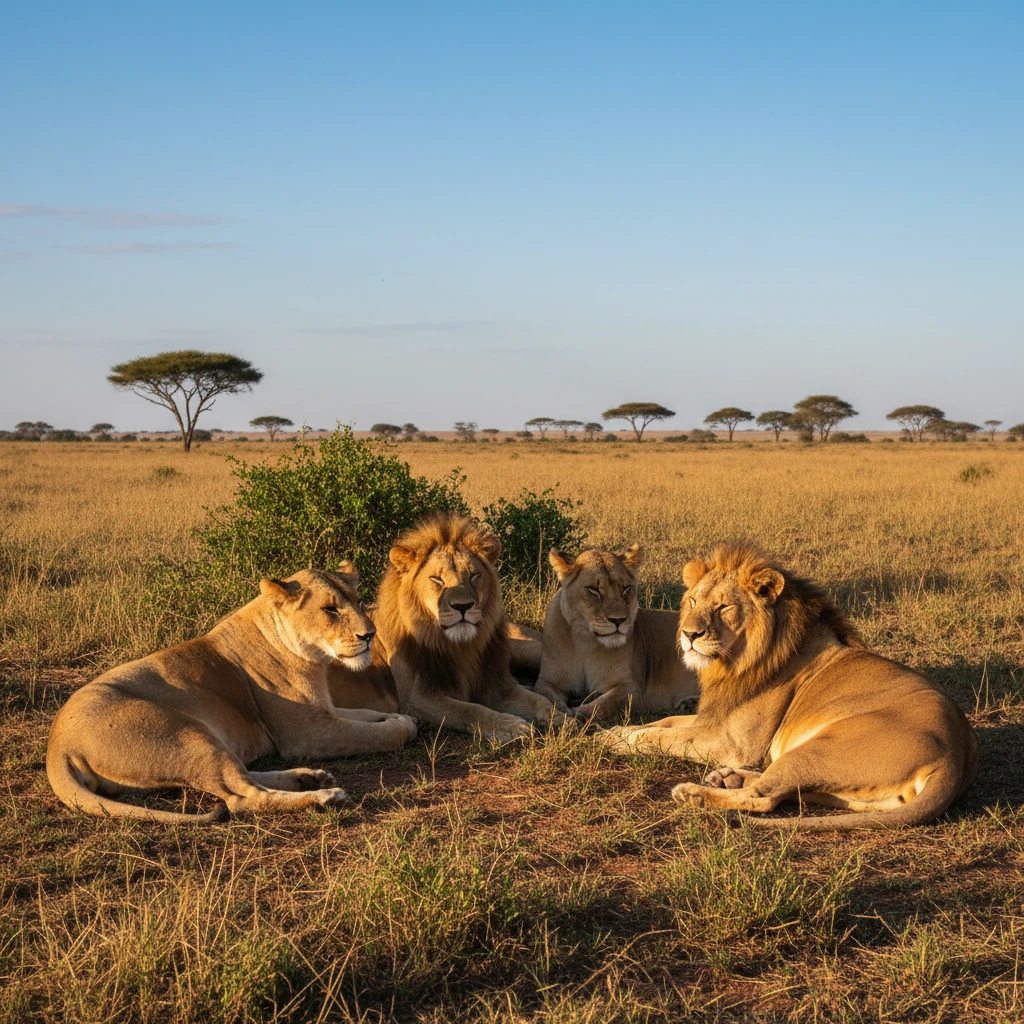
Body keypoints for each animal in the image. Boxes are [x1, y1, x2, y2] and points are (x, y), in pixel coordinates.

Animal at [47, 564, 417, 822]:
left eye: (359, 601)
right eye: (330, 610)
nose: (369, 635)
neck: (312, 658)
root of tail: (57, 744)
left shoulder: (325, 708)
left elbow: (369, 716)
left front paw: (400, 716)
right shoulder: (308, 732)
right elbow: (378, 734)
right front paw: (403, 726)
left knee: (243, 775)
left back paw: (309, 778)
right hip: (188, 735)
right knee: (241, 796)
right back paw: (324, 795)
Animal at [372, 513, 566, 742]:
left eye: (474, 576)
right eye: (436, 579)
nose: (463, 606)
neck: (461, 647)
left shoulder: (497, 686)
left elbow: (538, 700)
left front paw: (558, 716)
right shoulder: (417, 699)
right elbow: (469, 709)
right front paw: (510, 725)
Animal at [533, 545, 699, 722]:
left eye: (626, 588)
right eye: (593, 589)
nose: (619, 620)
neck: (586, 641)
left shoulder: (631, 687)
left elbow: (605, 704)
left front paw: (579, 713)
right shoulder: (547, 681)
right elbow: (549, 697)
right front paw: (562, 714)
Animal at [600, 543, 978, 830]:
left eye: (723, 606)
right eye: (693, 601)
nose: (688, 634)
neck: (736, 660)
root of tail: (957, 757)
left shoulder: (732, 742)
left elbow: (659, 737)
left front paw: (616, 739)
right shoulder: (715, 719)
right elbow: (662, 723)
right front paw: (612, 733)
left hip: (820, 750)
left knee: (764, 798)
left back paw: (694, 793)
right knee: (785, 790)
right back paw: (728, 778)